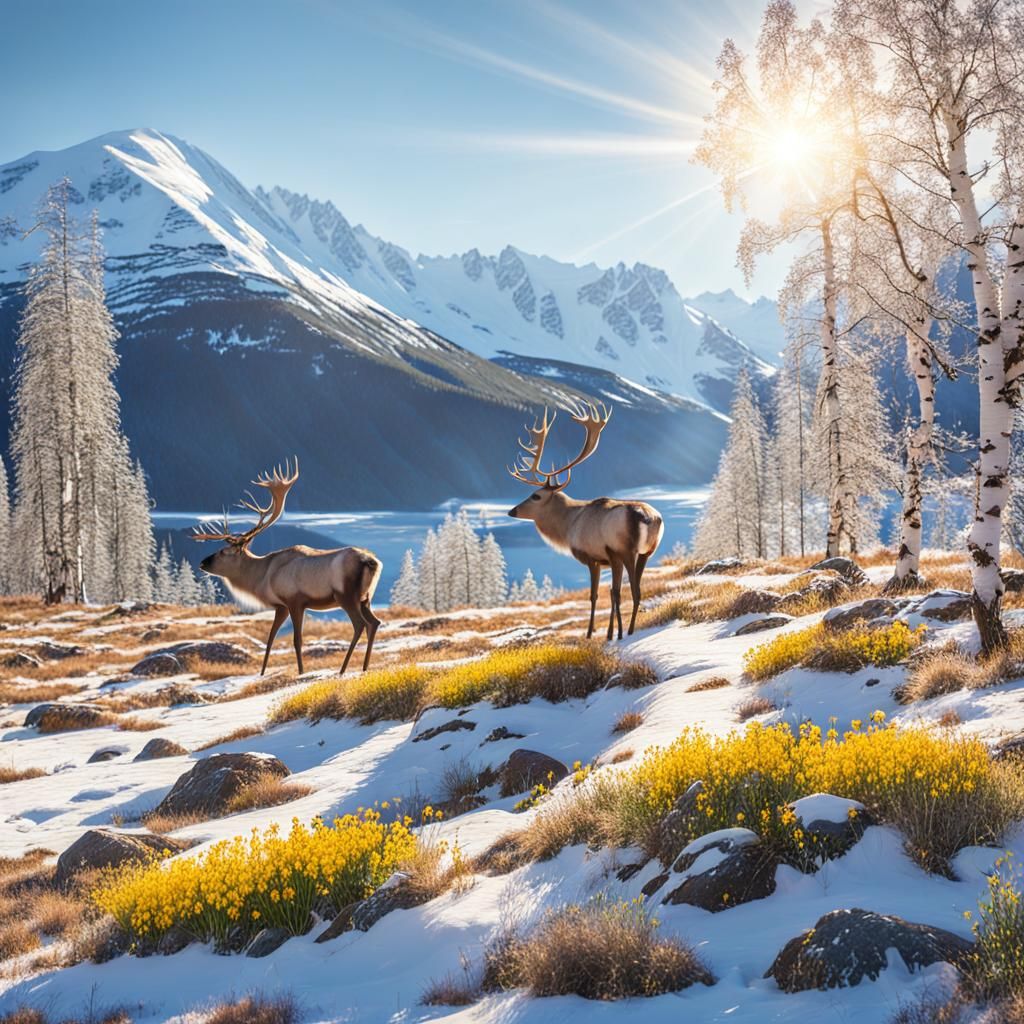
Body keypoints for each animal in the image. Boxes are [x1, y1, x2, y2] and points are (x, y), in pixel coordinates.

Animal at [192, 458, 383, 677]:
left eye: (223, 551)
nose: (202, 562)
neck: (263, 578)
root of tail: (372, 562)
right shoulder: (281, 606)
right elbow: (270, 638)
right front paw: (262, 673)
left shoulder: (294, 600)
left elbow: (296, 640)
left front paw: (300, 672)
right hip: (365, 598)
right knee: (374, 623)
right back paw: (365, 667)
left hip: (346, 595)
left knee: (360, 625)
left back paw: (343, 670)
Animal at [506, 403, 663, 641]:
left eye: (535, 496)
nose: (511, 511)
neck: (568, 525)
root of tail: (648, 517)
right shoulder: (608, 558)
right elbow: (611, 592)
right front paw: (609, 632)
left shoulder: (593, 556)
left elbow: (595, 595)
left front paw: (592, 633)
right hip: (647, 552)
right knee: (633, 591)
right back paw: (629, 630)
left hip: (626, 550)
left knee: (632, 592)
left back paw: (625, 633)